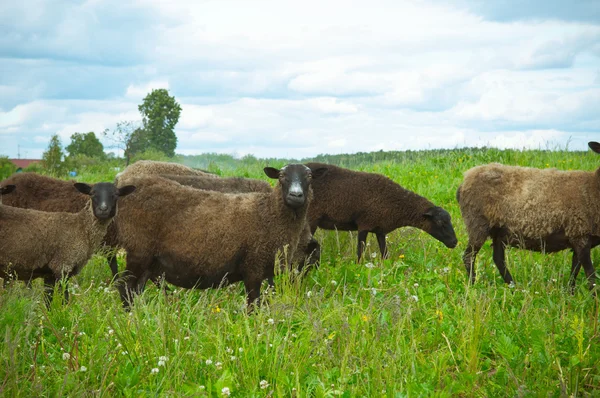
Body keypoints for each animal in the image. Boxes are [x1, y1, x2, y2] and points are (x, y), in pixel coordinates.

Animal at [0, 182, 135, 304]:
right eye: (92, 194)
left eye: (115, 195)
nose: (103, 210)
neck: (81, 228)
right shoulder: (62, 265)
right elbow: (65, 299)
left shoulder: (50, 273)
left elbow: (48, 300)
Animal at [114, 163, 326, 310]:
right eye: (282, 176)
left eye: (309, 176)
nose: (296, 195)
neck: (268, 213)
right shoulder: (254, 268)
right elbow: (253, 305)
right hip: (138, 251)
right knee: (125, 286)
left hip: (149, 260)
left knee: (136, 289)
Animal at [304, 162, 460, 262]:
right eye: (439, 222)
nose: (455, 242)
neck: (395, 203)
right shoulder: (364, 224)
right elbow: (360, 252)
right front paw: (358, 267)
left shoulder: (380, 229)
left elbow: (385, 254)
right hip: (310, 218)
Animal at [454, 141, 600, 290]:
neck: (593, 187)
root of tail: (464, 181)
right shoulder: (580, 235)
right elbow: (591, 276)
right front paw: (592, 296)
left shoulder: (578, 238)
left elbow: (574, 271)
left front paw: (570, 292)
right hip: (477, 223)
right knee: (469, 256)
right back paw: (473, 286)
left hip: (499, 231)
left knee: (498, 259)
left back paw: (513, 287)